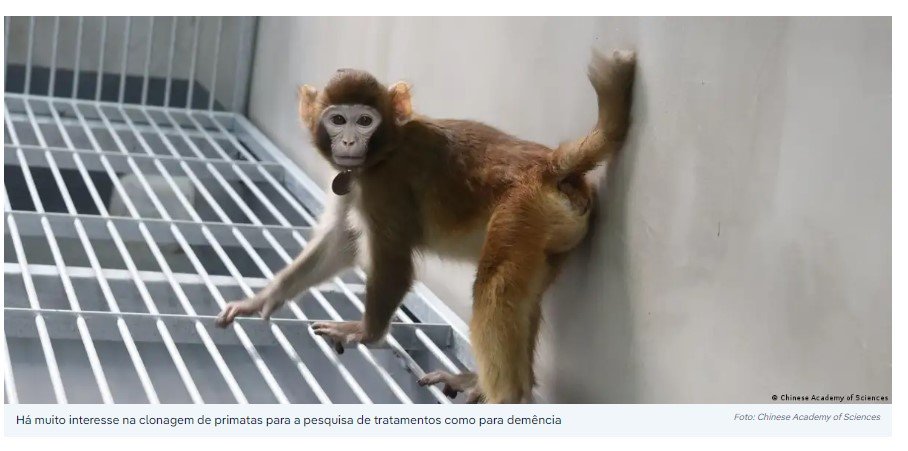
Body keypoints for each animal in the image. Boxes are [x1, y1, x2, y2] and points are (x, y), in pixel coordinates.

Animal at [215, 50, 636, 403]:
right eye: (337, 119)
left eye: (364, 120)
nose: (348, 141)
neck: (386, 148)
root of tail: (550, 165)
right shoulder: (355, 181)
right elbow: (341, 242)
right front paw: (263, 299)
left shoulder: (385, 186)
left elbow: (394, 262)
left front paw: (367, 332)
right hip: (550, 230)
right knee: (522, 295)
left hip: (522, 210)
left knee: (494, 288)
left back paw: (507, 396)